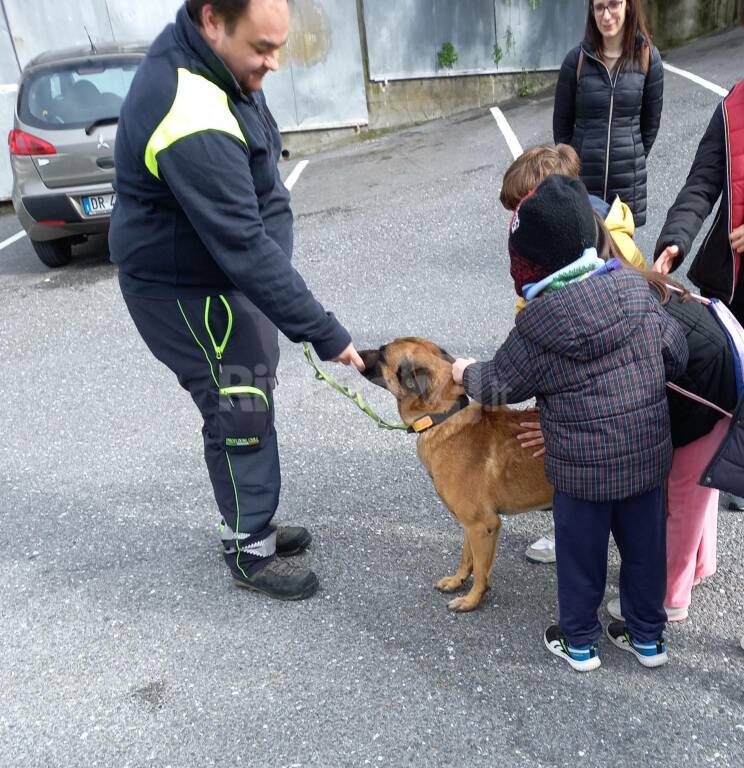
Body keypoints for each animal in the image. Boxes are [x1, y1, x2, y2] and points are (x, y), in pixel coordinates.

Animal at [360, 336, 552, 612]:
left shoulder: (483, 525)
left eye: (383, 353)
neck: (442, 418)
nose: (355, 353)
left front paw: (472, 599)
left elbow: (481, 571)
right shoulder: (470, 525)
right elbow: (466, 557)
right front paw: (457, 581)